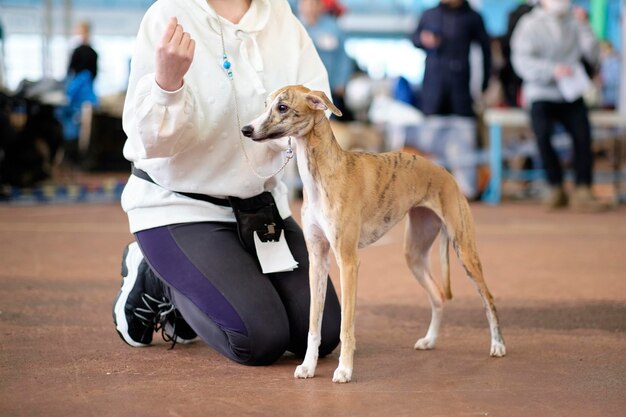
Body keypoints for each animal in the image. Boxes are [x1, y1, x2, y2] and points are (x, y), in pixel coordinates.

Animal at [241, 85, 504, 384]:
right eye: (265, 104)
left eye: (283, 107)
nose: (246, 129)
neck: (324, 173)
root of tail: (445, 172)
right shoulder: (317, 260)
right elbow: (314, 323)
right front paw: (308, 366)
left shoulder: (348, 262)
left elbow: (346, 325)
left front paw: (344, 369)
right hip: (414, 253)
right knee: (437, 295)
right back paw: (429, 340)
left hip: (464, 250)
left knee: (488, 299)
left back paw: (497, 345)